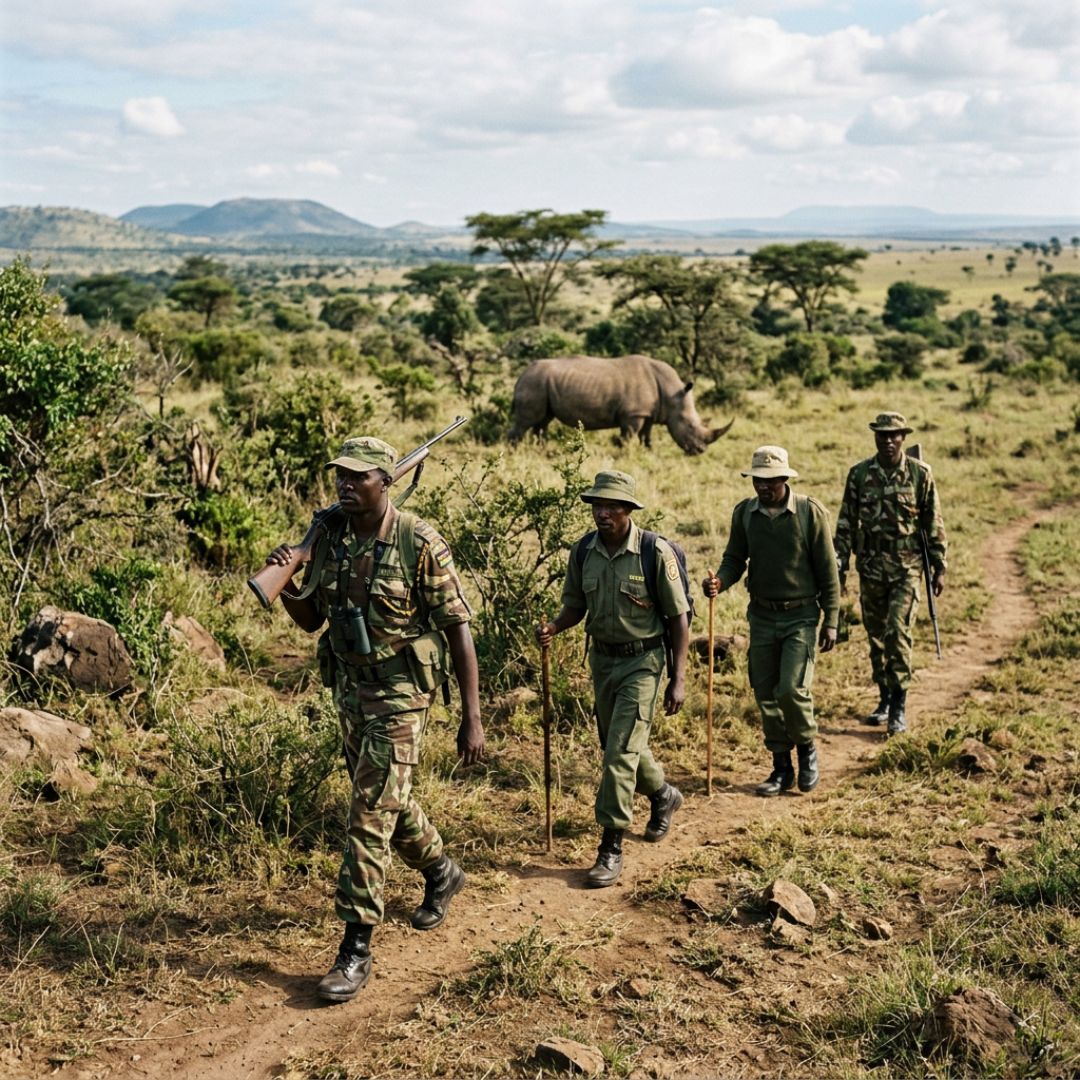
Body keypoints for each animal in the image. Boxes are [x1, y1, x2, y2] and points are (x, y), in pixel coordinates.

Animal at [508, 354, 733, 455]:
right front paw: (625, 454)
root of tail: (520, 376)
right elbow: (629, 436)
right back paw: (515, 452)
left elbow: (646, 435)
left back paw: (541, 450)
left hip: (540, 384)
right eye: (690, 426)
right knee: (526, 422)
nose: (700, 450)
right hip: (534, 383)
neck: (672, 394)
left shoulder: (648, 413)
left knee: (542, 422)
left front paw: (648, 451)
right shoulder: (633, 414)